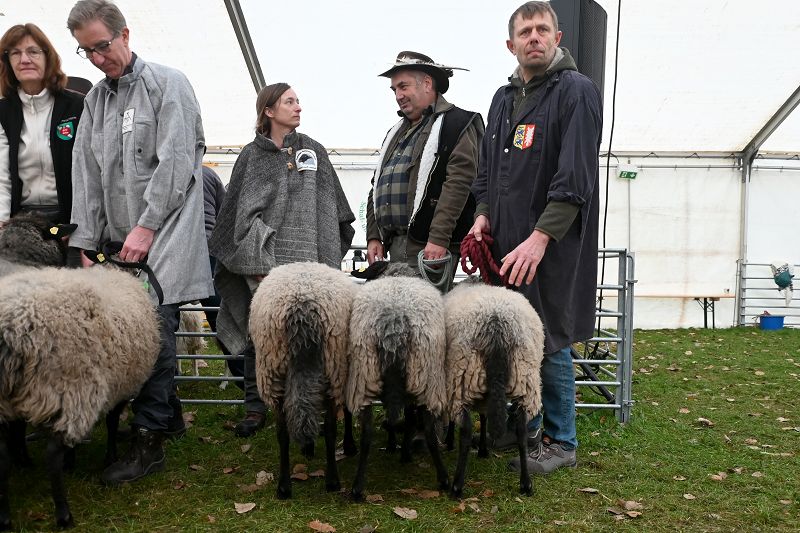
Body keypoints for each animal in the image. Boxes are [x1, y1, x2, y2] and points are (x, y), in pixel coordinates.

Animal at [0, 264, 160, 530]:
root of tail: (12, 327)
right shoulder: (120, 389)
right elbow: (112, 422)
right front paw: (109, 457)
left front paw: (72, 461)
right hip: (71, 388)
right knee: (52, 454)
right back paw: (64, 515)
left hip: (10, 401)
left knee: (2, 457)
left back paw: (4, 518)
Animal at [249, 262, 358, 499]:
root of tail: (302, 305)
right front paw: (348, 445)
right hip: (334, 368)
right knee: (329, 428)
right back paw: (332, 480)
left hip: (273, 371)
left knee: (283, 431)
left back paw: (283, 487)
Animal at [346, 262, 450, 501]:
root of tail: (394, 319)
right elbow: (410, 420)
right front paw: (402, 451)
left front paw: (394, 445)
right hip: (425, 377)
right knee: (428, 431)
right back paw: (442, 478)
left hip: (365, 374)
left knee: (366, 435)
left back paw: (357, 487)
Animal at [442, 277, 545, 498]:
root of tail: (496, 325)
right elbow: (484, 417)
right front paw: (483, 449)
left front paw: (450, 441)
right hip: (525, 377)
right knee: (522, 431)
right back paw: (526, 484)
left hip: (461, 376)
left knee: (465, 431)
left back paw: (457, 486)